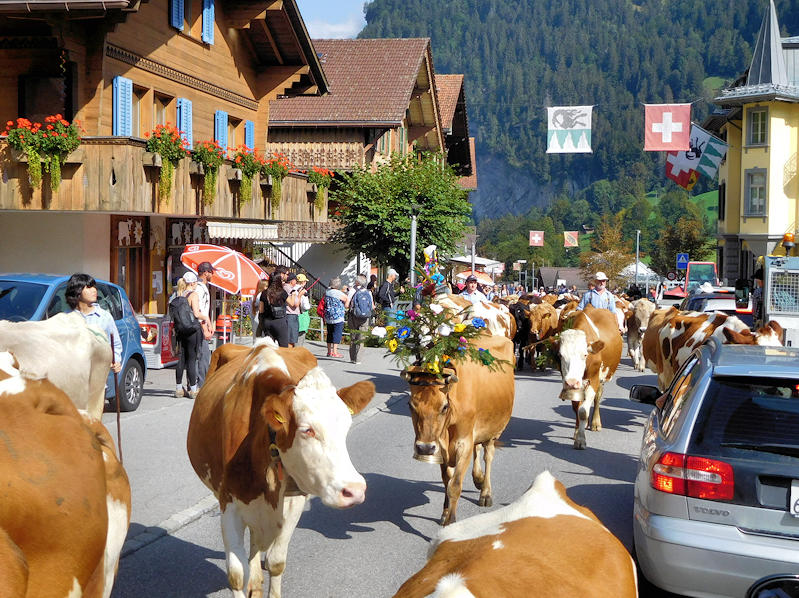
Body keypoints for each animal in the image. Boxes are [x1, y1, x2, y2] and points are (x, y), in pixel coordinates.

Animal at [188, 342, 376, 598]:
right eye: (307, 430)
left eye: (347, 425)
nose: (355, 490)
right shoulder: (228, 503)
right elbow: (237, 574)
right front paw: (247, 579)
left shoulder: (294, 500)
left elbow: (276, 562)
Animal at [404, 336, 516, 528]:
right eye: (411, 405)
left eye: (444, 406)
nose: (424, 448)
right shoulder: (441, 446)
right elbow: (446, 480)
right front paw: (445, 512)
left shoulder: (464, 442)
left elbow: (454, 485)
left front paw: (451, 522)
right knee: (477, 450)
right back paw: (478, 479)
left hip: (493, 431)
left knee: (488, 455)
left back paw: (485, 492)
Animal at [556, 310, 624, 450]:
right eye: (560, 355)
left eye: (585, 355)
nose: (571, 382)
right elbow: (576, 407)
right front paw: (577, 431)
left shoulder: (594, 379)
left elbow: (583, 411)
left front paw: (581, 440)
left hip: (601, 377)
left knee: (598, 397)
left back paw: (595, 423)